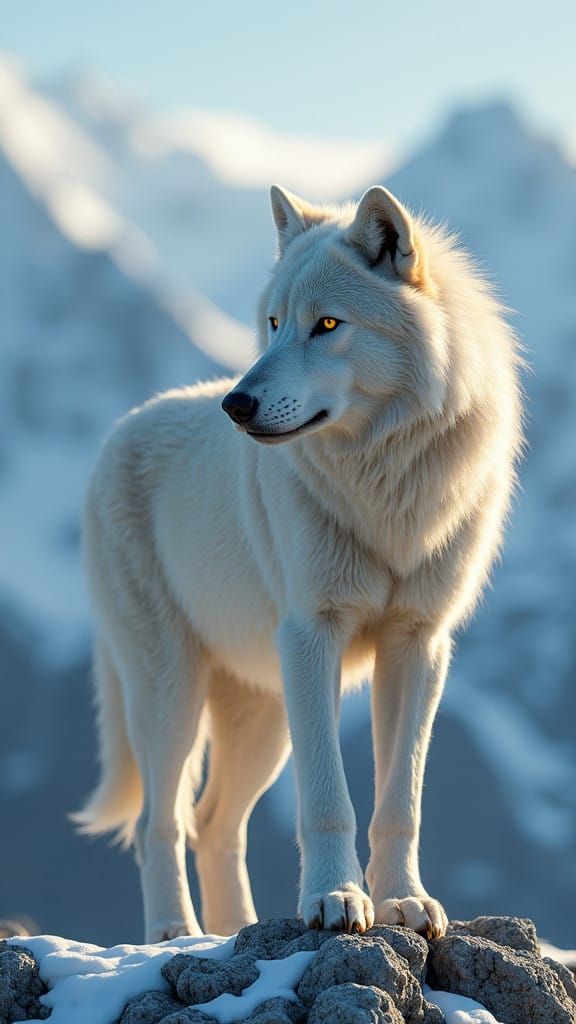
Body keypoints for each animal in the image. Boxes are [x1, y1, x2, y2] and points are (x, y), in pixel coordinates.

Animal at [74, 184, 523, 943]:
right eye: (276, 322)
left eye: (328, 324)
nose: (236, 404)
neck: (384, 484)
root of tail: (119, 430)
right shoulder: (313, 635)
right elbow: (327, 801)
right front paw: (335, 900)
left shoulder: (420, 645)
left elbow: (400, 803)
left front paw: (405, 902)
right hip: (173, 695)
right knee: (157, 823)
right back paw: (176, 934)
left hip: (262, 717)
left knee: (213, 825)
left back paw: (233, 931)